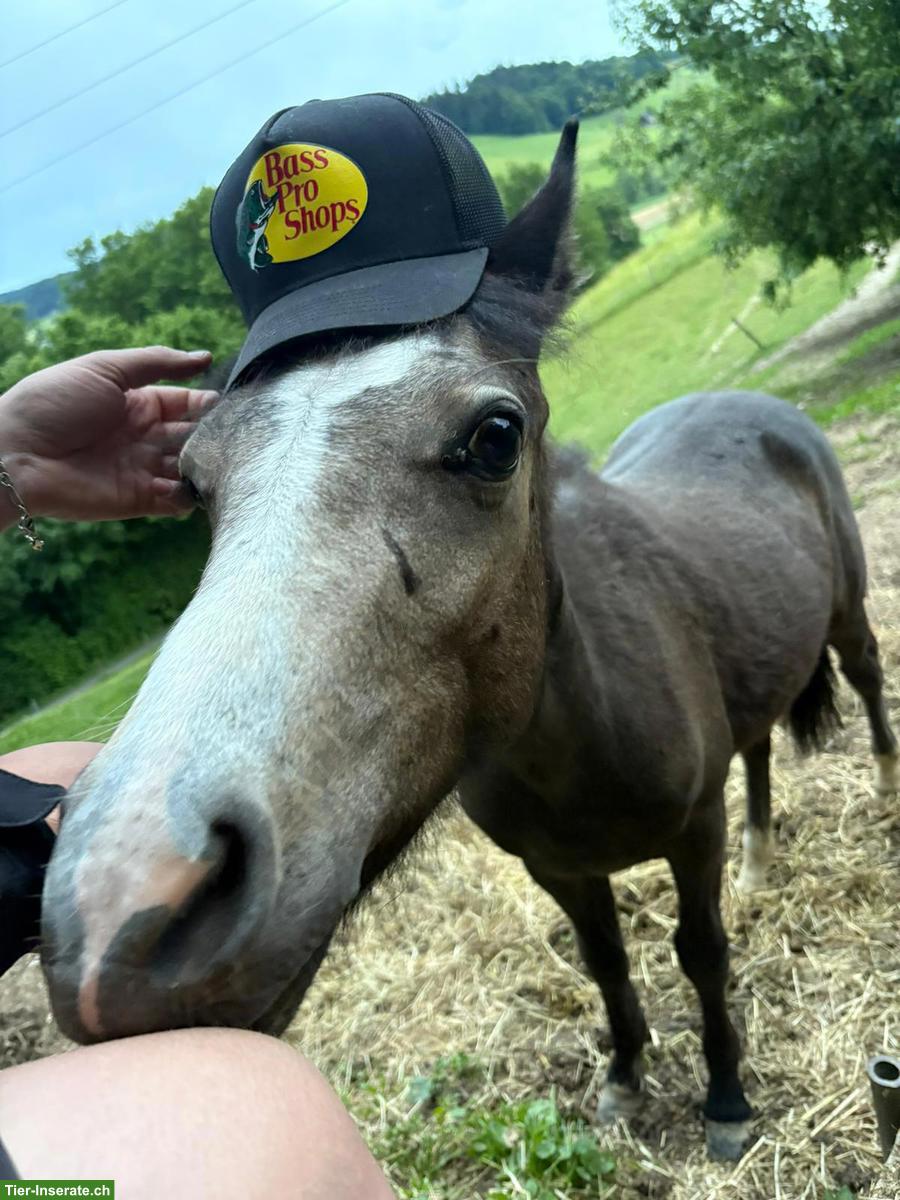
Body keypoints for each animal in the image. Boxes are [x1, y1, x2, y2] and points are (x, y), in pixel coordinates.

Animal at [41, 122, 897, 1161]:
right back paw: (763, 861)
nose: (121, 899)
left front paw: (726, 1099)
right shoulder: (559, 869)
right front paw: (624, 1080)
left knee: (867, 683)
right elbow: (605, 961)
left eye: (495, 437)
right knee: (763, 744)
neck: (577, 739)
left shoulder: (692, 831)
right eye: (193, 482)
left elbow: (700, 953)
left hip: (848, 619)